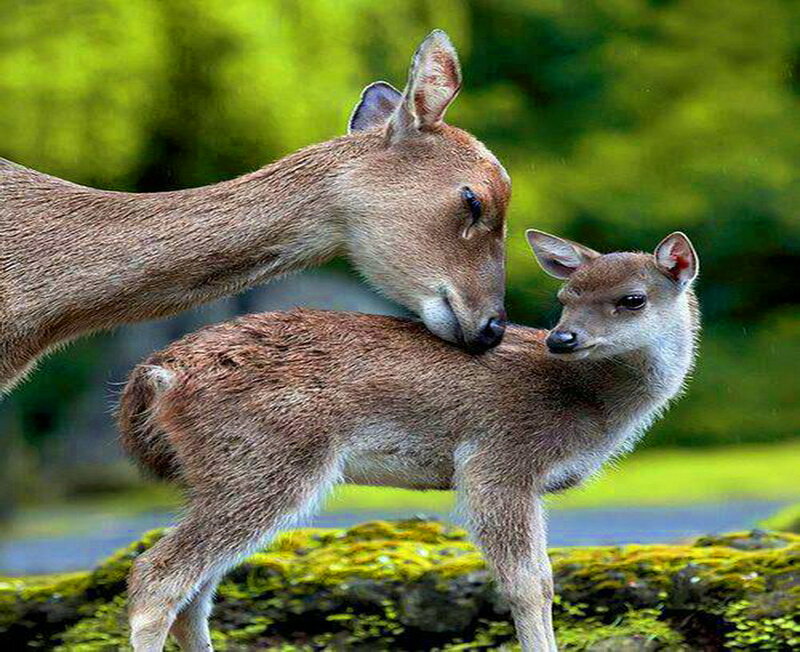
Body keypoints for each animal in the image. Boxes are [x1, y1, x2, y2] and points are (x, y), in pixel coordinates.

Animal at [117, 230, 699, 651]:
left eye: (632, 299)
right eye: (565, 297)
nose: (562, 338)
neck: (588, 406)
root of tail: (157, 375)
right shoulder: (498, 459)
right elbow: (531, 584)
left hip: (223, 470)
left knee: (195, 591)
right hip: (266, 460)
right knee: (157, 575)